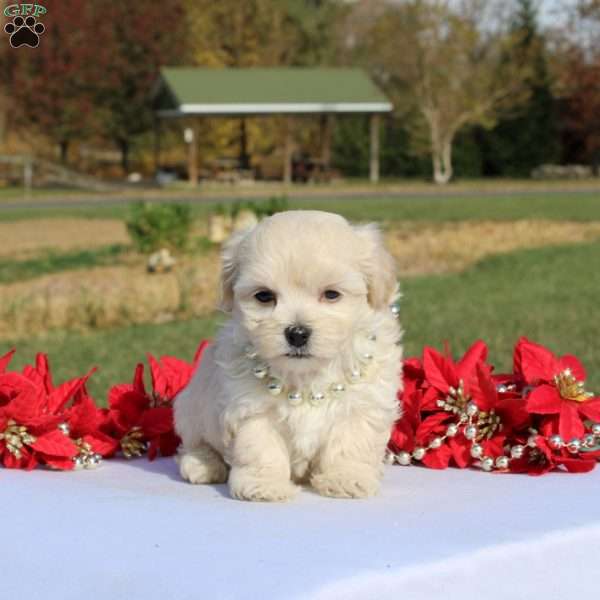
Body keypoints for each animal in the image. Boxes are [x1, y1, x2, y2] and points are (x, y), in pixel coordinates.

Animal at [176, 211, 406, 502]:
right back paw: (202, 464)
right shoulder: (251, 409)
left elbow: (351, 442)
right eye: (264, 296)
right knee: (194, 443)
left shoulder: (363, 404)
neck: (306, 376)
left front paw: (345, 478)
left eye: (331, 294)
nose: (297, 333)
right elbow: (260, 447)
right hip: (190, 408)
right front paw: (264, 485)